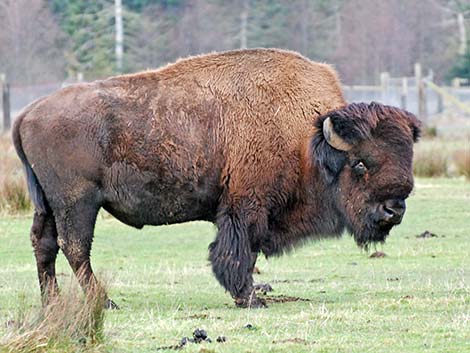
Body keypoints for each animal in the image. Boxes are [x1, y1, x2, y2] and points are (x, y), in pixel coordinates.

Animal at [12, 47, 420, 308]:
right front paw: (249, 298)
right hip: (77, 201)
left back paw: (52, 303)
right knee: (74, 246)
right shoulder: (247, 204)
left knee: (44, 244)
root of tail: (27, 113)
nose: (394, 210)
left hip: (46, 203)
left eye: (408, 159)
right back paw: (105, 302)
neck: (307, 137)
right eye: (361, 164)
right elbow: (240, 249)